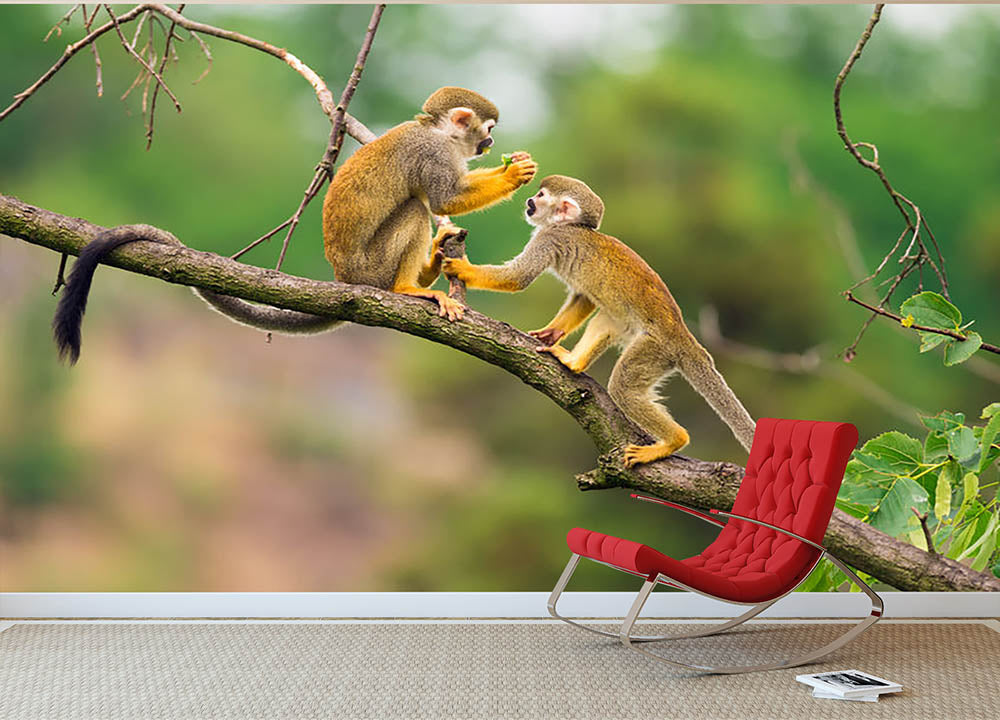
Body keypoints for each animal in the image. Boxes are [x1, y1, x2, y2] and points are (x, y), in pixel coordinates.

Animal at [52, 87, 537, 363]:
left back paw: (433, 263)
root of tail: (345, 279)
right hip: (371, 268)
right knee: (415, 208)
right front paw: (514, 174)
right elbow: (442, 198)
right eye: (487, 129)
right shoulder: (431, 154)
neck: (439, 134)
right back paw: (408, 288)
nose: (491, 141)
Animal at [441, 175, 756, 467]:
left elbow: (518, 278)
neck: (570, 227)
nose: (529, 202)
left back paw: (673, 441)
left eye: (540, 196)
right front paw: (551, 332)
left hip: (656, 348)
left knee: (623, 387)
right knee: (608, 317)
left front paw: (462, 268)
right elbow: (584, 297)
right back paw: (574, 363)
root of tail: (684, 337)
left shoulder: (549, 239)